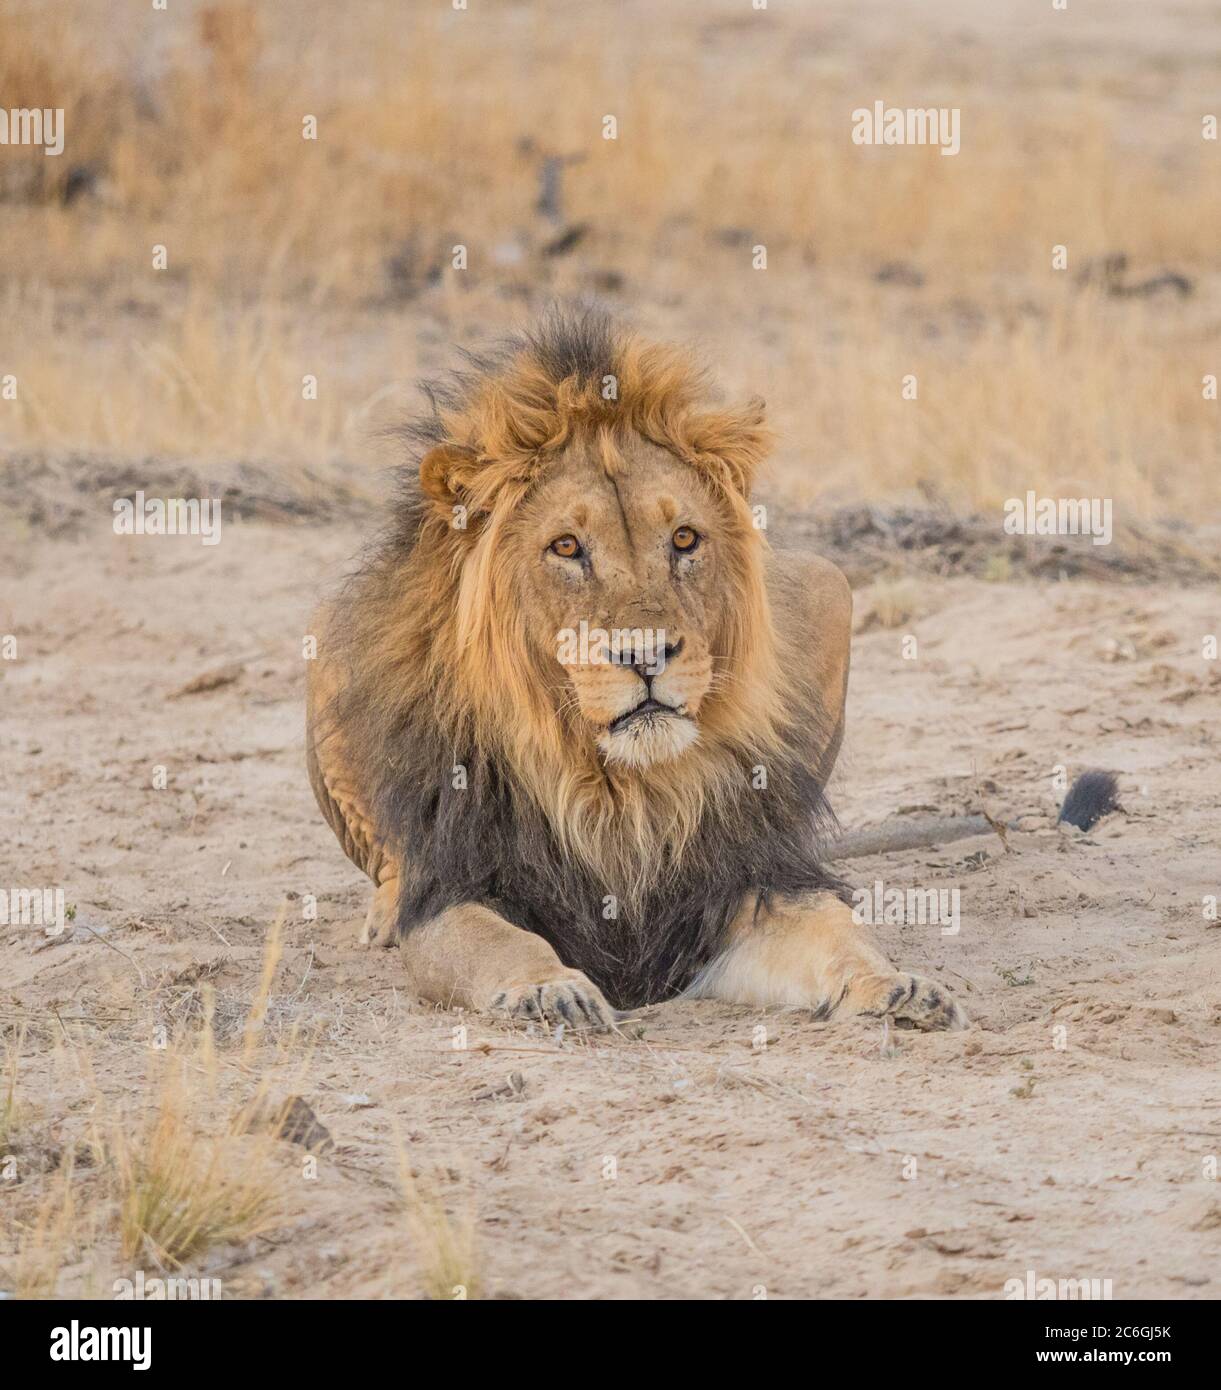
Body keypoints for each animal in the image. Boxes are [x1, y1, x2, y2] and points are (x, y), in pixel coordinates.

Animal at [306, 307, 966, 1031]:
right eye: (567, 547)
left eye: (684, 539)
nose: (645, 652)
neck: (619, 792)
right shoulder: (454, 890)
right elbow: (502, 945)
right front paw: (550, 991)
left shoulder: (744, 883)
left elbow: (837, 932)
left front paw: (897, 986)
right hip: (325, 631)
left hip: (828, 582)